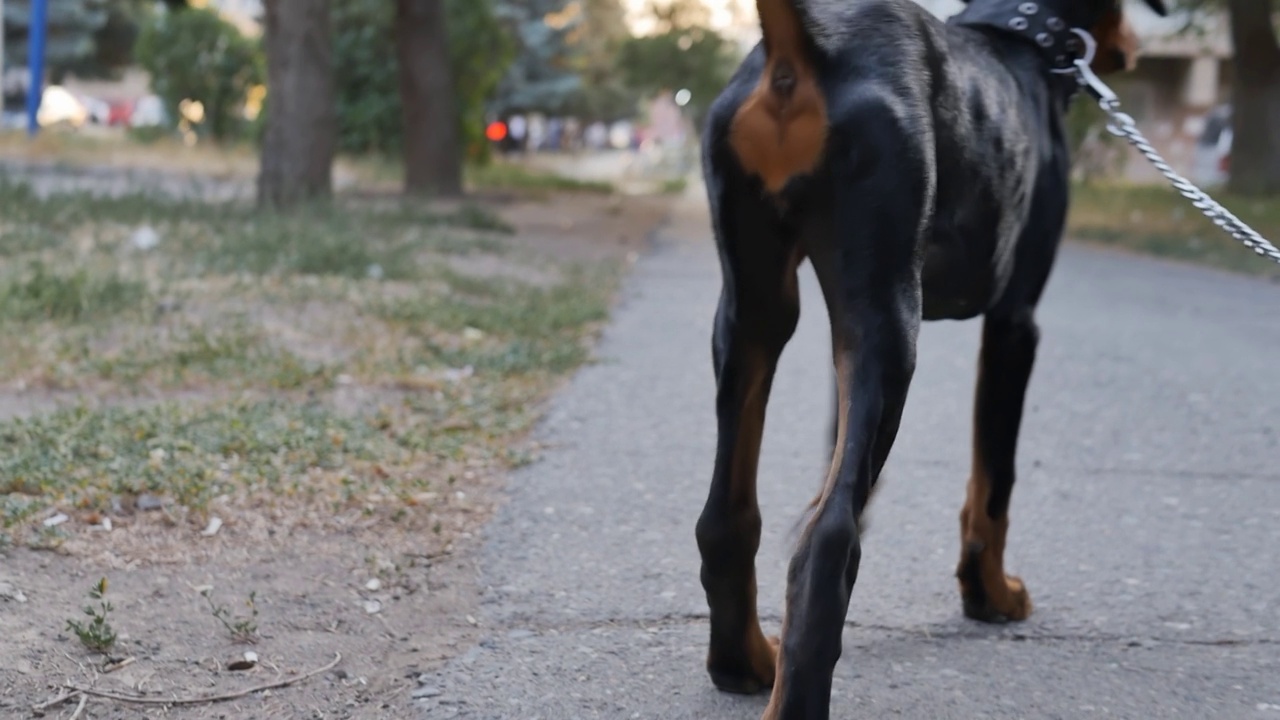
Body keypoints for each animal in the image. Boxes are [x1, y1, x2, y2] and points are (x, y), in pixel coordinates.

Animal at [696, 0, 1172, 712]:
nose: (1134, 46)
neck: (1023, 37)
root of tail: (808, 47)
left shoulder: (841, 339)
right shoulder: (1015, 323)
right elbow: (994, 481)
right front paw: (990, 594)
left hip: (759, 309)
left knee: (726, 520)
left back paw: (746, 661)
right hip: (891, 312)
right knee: (828, 540)